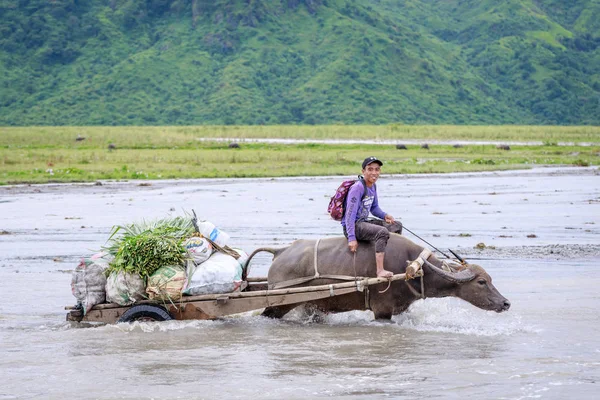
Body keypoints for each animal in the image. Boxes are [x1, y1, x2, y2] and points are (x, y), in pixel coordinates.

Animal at [248, 233, 510, 320]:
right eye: (481, 282)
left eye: (491, 279)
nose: (506, 303)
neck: (413, 269)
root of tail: (281, 252)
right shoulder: (382, 311)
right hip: (279, 305)